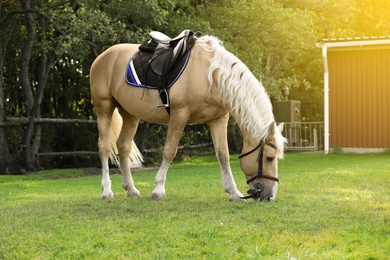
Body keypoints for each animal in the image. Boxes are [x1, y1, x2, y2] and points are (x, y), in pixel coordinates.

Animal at [90, 33, 286, 202]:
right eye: (269, 157)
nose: (269, 196)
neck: (210, 75)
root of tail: (103, 57)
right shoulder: (179, 115)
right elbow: (170, 150)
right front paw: (158, 189)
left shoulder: (218, 119)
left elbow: (223, 155)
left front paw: (233, 192)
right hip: (104, 109)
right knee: (104, 148)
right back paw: (107, 191)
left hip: (130, 114)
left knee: (123, 147)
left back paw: (131, 189)